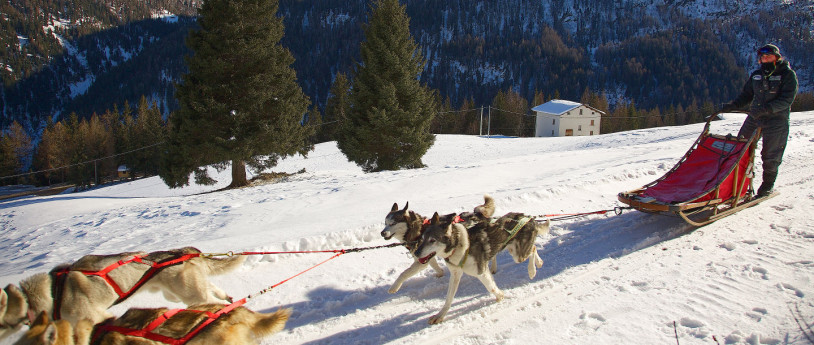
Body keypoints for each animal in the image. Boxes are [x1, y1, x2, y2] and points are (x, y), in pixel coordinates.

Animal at [2, 245, 245, 328]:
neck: (53, 292)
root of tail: (185, 251)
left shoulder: (97, 318)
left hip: (191, 295)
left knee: (212, 302)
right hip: (179, 294)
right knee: (212, 288)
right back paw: (228, 297)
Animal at [418, 212, 552, 322]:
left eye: (432, 240)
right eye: (423, 238)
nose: (417, 252)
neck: (459, 245)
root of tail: (529, 218)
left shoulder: (481, 271)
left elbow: (490, 287)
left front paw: (500, 296)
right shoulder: (456, 275)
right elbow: (448, 299)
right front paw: (440, 315)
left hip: (519, 256)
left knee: (532, 249)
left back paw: (532, 270)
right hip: (514, 251)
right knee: (533, 248)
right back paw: (539, 263)